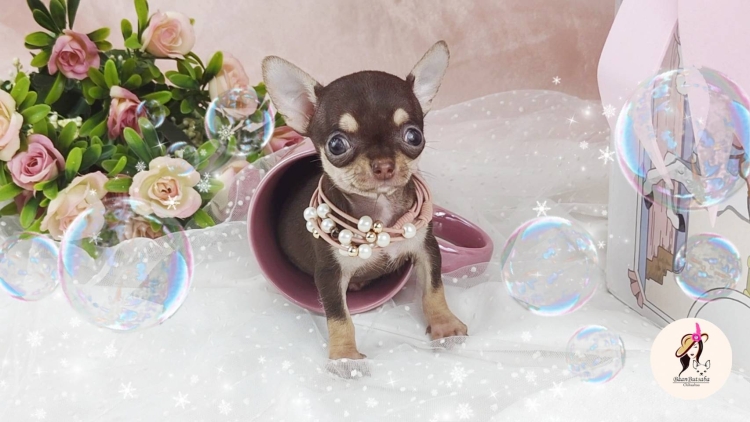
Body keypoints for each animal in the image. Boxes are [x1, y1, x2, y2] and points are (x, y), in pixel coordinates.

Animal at [262, 41, 468, 360]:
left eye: (414, 136)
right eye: (336, 144)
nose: (384, 165)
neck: (378, 212)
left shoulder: (427, 249)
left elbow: (434, 289)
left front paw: (444, 325)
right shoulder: (328, 275)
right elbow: (339, 317)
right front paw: (345, 355)